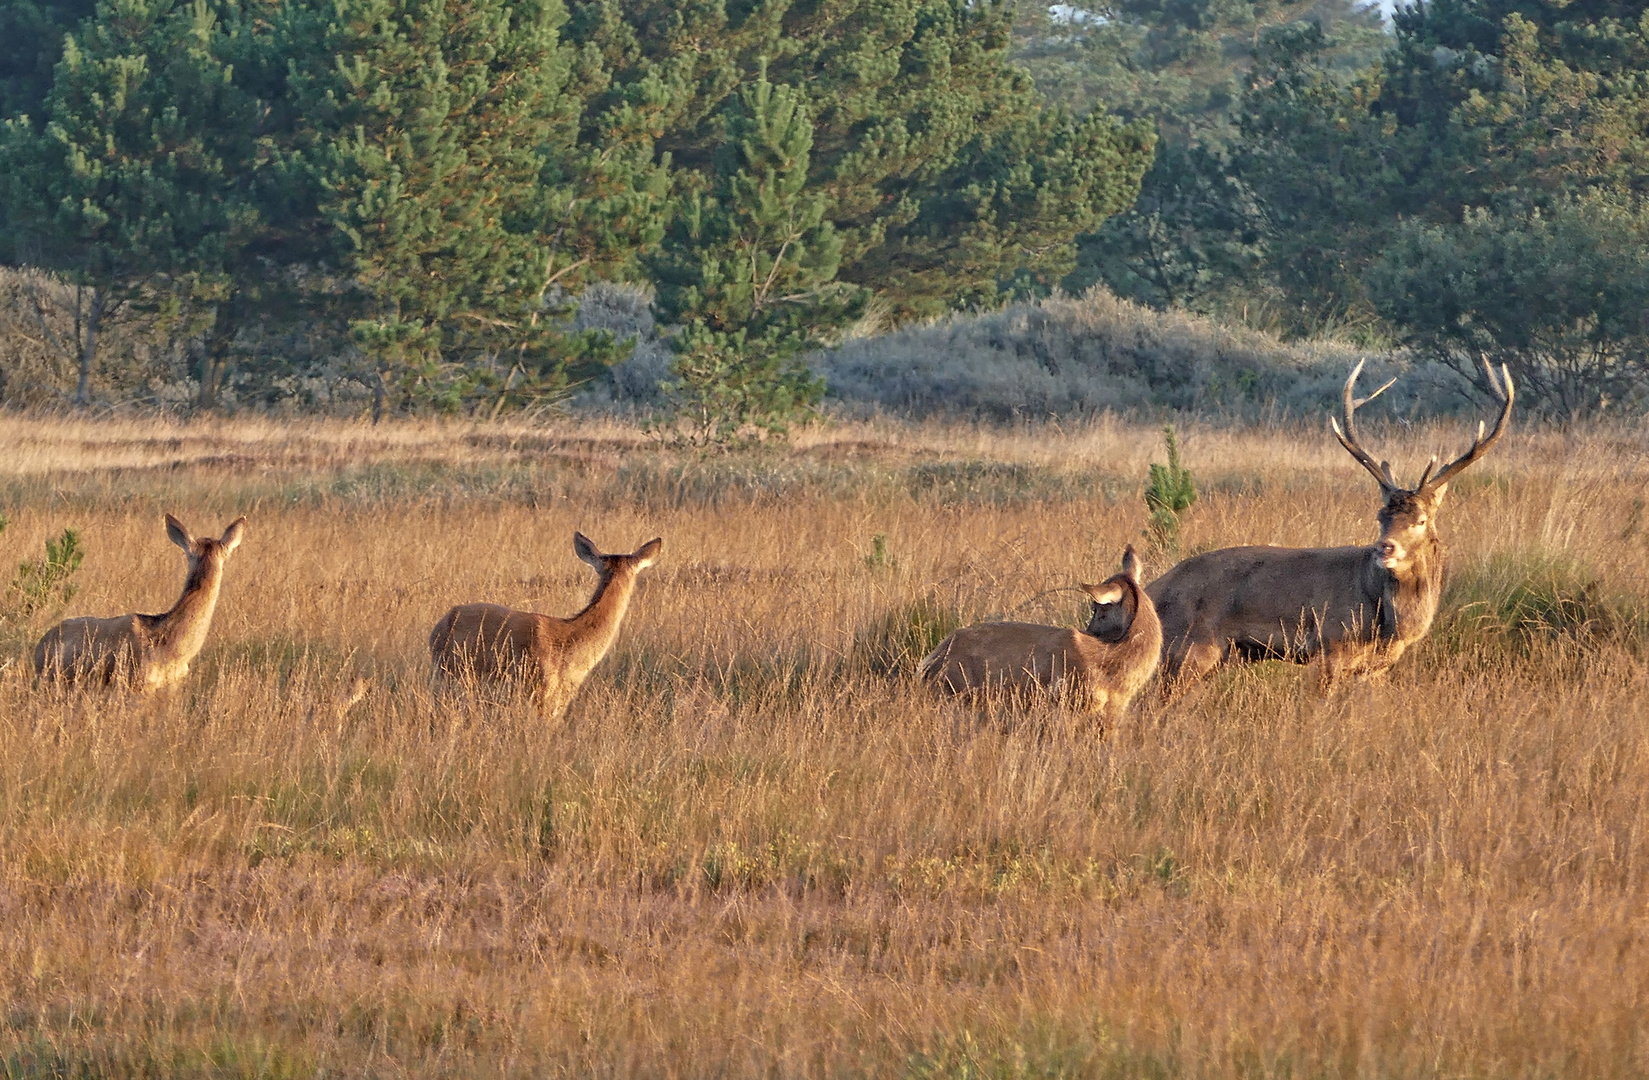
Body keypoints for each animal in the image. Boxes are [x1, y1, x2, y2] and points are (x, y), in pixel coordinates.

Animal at [1154, 359, 1510, 689]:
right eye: (1381, 516)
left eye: (1421, 519)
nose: (1385, 548)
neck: (1389, 625)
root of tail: (1156, 588)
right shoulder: (1329, 646)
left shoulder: (1376, 668)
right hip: (1190, 647)